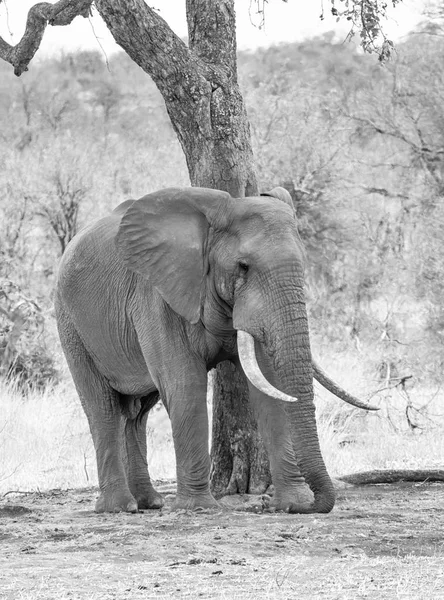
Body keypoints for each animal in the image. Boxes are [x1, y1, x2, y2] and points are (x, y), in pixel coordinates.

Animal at [55, 186, 374, 516]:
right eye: (243, 266)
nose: (308, 507)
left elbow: (269, 385)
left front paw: (292, 503)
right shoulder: (157, 296)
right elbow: (184, 384)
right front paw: (199, 508)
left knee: (138, 413)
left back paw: (149, 503)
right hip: (70, 322)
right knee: (102, 408)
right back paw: (119, 508)